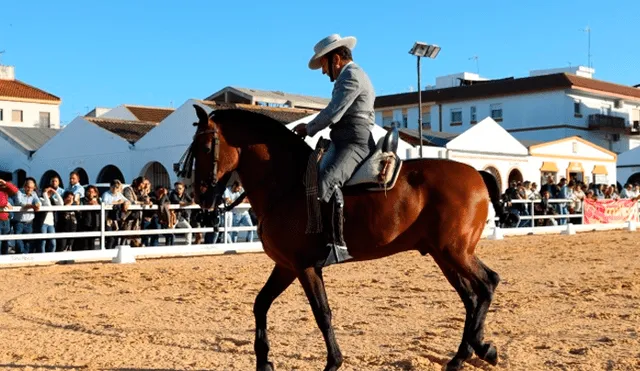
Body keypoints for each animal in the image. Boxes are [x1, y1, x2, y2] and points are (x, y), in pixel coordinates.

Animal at [184, 105, 504, 371]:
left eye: (206, 146)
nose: (200, 196)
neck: (287, 184)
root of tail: (477, 173)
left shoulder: (304, 266)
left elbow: (322, 312)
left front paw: (333, 362)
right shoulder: (286, 266)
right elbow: (261, 303)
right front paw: (264, 361)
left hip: (455, 252)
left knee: (487, 284)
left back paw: (477, 349)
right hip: (443, 255)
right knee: (471, 297)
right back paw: (466, 353)